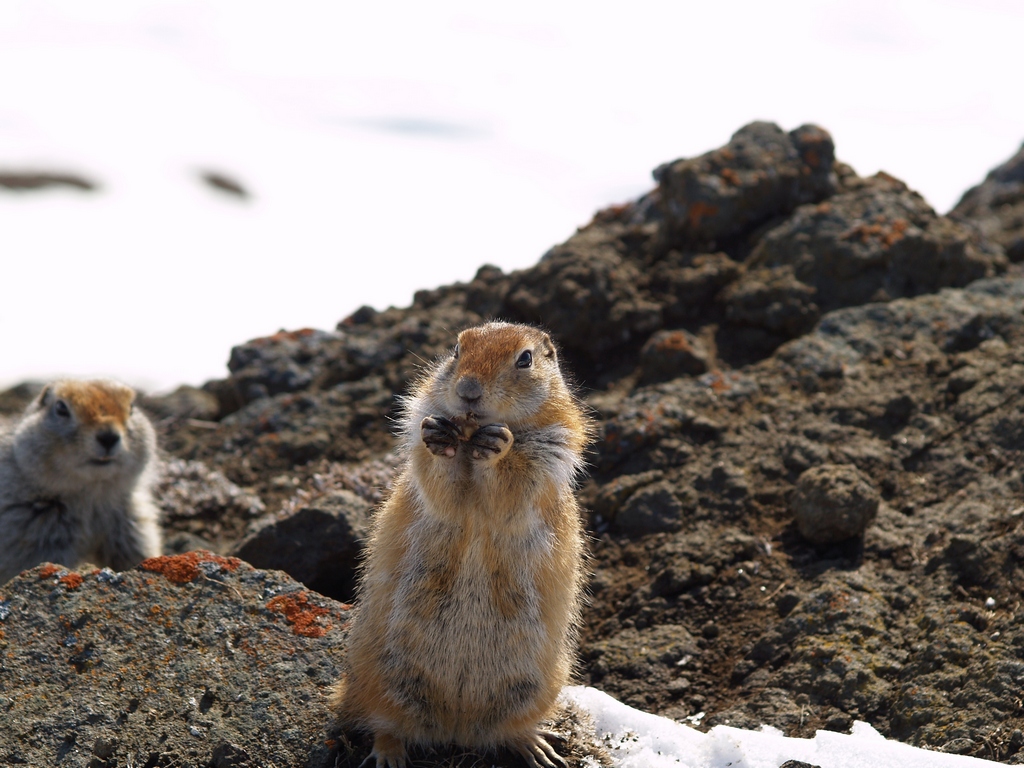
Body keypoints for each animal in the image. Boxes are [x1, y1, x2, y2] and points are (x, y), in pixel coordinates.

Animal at [0, 379, 162, 584]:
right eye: (61, 408)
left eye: (132, 407)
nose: (108, 436)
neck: (91, 496)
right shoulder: (36, 536)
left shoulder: (133, 526)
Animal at [331, 322, 593, 768]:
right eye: (456, 349)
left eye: (525, 359)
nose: (468, 390)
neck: (470, 439)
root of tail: (455, 727)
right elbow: (439, 483)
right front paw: (439, 438)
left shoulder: (549, 452)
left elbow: (513, 487)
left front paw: (498, 447)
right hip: (373, 674)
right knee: (384, 722)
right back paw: (389, 754)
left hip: (539, 685)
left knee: (503, 730)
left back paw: (538, 748)